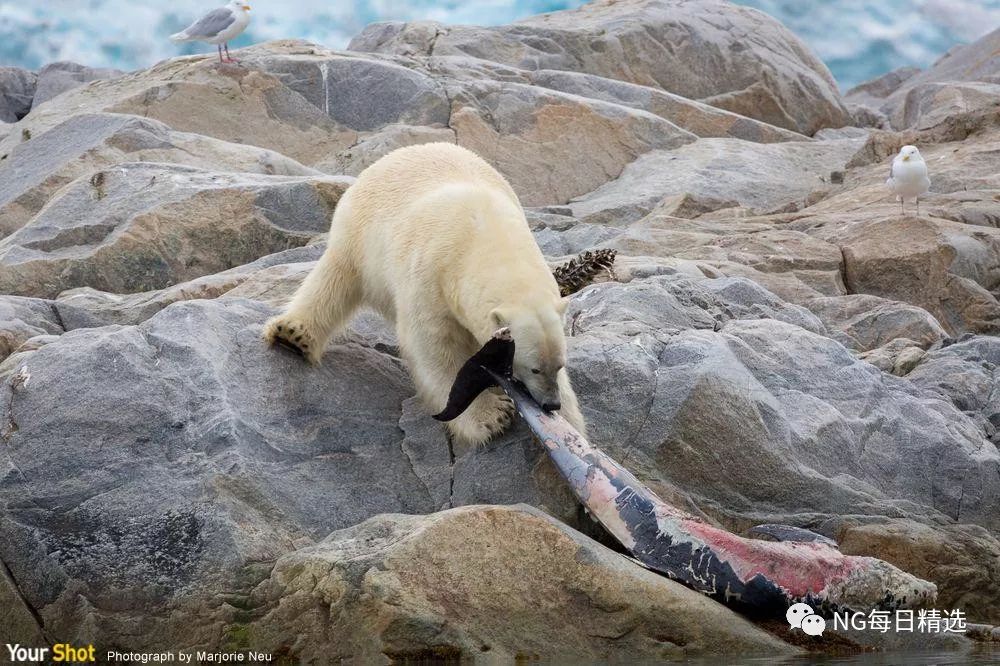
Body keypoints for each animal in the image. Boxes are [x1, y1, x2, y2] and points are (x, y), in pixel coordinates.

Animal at [262, 143, 584, 444]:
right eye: (534, 369)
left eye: (559, 365)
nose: (550, 404)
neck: (488, 238)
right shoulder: (431, 274)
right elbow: (435, 345)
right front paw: (490, 416)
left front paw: (571, 425)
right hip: (359, 237)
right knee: (333, 281)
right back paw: (294, 334)